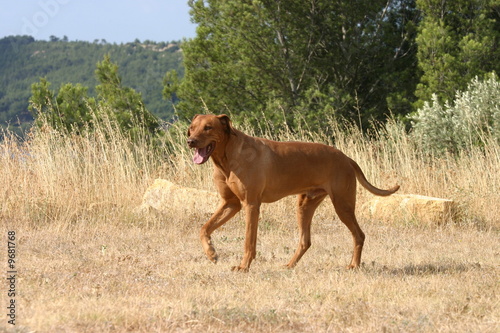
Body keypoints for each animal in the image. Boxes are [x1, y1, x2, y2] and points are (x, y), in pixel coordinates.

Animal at [186, 114, 400, 270]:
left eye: (208, 127)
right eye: (192, 127)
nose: (190, 141)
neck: (227, 158)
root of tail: (346, 158)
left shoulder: (251, 204)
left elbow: (248, 241)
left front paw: (243, 267)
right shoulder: (231, 203)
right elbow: (204, 228)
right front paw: (211, 253)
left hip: (342, 204)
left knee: (359, 235)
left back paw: (354, 265)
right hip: (305, 204)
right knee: (305, 241)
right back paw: (289, 265)